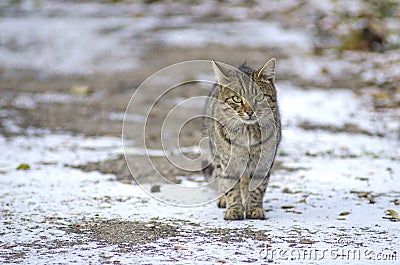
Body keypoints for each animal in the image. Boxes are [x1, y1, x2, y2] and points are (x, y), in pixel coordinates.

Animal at [203, 58, 282, 220]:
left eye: (260, 97)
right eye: (237, 99)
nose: (250, 111)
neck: (248, 131)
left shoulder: (264, 161)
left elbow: (257, 188)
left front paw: (254, 209)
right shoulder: (227, 162)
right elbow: (231, 188)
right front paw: (234, 209)